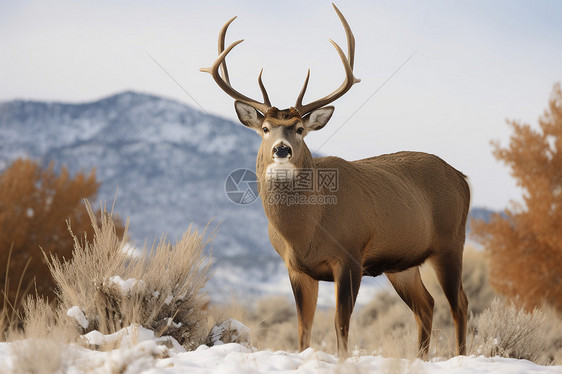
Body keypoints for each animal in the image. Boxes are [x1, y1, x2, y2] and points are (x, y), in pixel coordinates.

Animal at [200, 3, 468, 360]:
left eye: (300, 129)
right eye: (266, 128)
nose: (282, 149)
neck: (307, 228)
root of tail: (462, 178)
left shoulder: (350, 255)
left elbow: (341, 325)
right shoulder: (297, 268)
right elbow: (303, 331)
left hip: (451, 242)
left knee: (459, 304)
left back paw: (461, 355)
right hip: (402, 263)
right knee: (426, 305)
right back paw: (420, 358)